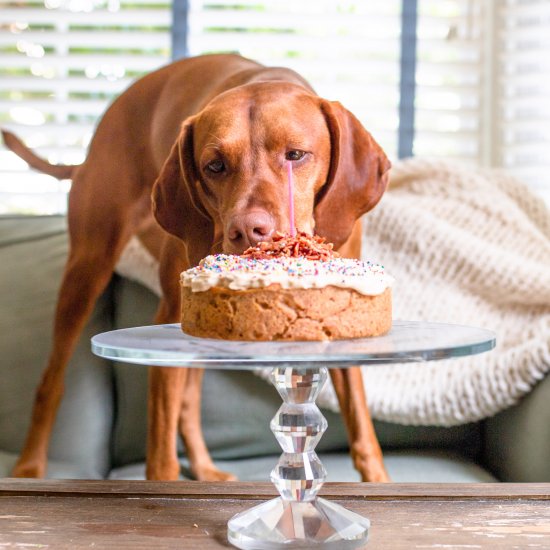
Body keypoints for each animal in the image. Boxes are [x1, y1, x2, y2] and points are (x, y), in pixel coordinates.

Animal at [3, 51, 392, 484]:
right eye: (215, 166)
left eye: (295, 155)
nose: (247, 230)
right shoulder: (168, 320)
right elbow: (160, 442)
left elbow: (361, 426)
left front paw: (379, 481)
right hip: (87, 269)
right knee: (51, 382)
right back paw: (29, 465)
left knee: (189, 401)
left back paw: (205, 467)